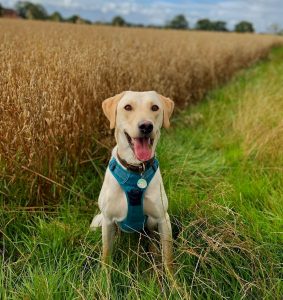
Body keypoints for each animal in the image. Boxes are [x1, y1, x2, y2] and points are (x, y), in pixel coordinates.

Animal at [91, 89, 175, 270]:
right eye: (127, 107)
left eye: (155, 107)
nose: (146, 126)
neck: (136, 170)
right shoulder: (108, 220)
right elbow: (106, 256)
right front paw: (104, 277)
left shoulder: (163, 218)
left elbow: (168, 259)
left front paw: (172, 278)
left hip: (151, 222)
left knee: (151, 237)